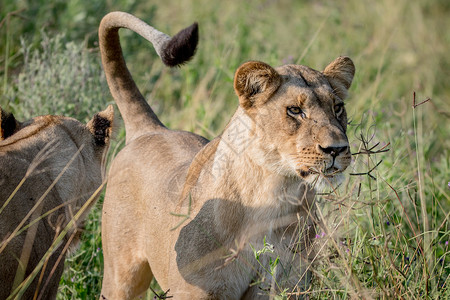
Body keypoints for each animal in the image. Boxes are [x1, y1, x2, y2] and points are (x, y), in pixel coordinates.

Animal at [99, 11, 356, 298]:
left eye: (337, 108)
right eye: (294, 110)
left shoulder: (286, 286)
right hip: (120, 277)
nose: (336, 149)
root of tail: (151, 128)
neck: (274, 193)